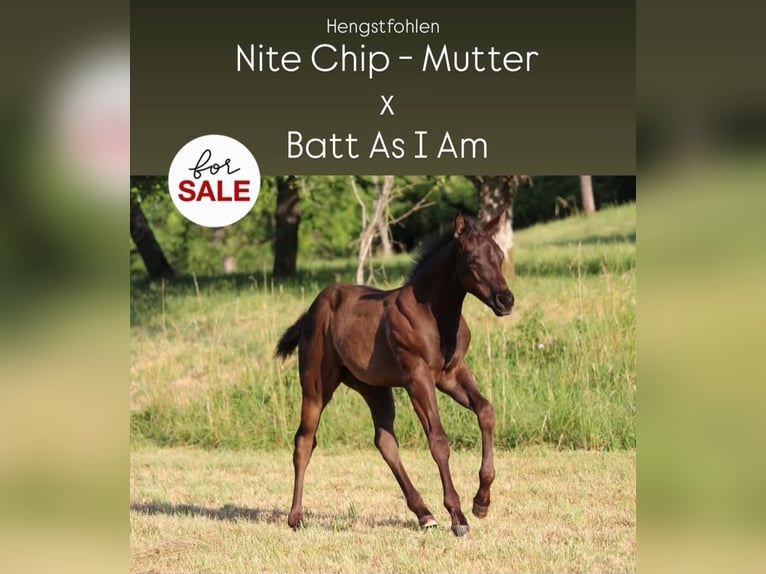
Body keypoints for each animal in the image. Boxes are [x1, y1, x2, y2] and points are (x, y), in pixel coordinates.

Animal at [275, 212, 514, 536]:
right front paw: (458, 516)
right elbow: (438, 441)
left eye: (499, 256)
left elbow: (486, 411)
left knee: (385, 442)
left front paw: (481, 502)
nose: (505, 300)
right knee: (304, 441)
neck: (435, 315)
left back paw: (424, 514)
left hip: (374, 388)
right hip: (316, 386)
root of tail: (311, 310)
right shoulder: (418, 379)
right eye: (472, 259)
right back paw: (295, 517)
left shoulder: (451, 374)